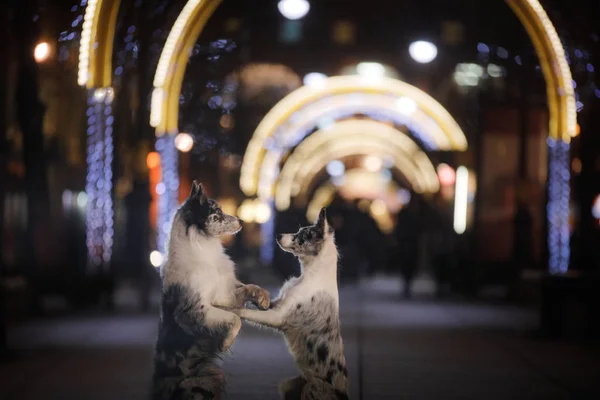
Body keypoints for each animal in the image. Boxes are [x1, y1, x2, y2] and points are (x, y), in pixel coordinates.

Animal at [151, 182, 270, 400]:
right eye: (217, 213)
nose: (242, 221)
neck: (203, 250)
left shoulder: (225, 294)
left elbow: (250, 287)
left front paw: (262, 298)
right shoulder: (196, 310)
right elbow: (235, 319)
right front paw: (226, 343)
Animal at [223, 209, 350, 400]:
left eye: (303, 235)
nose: (278, 234)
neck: (311, 276)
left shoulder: (278, 316)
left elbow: (245, 312)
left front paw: (227, 308)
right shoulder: (275, 305)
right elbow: (254, 300)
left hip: (311, 389)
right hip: (288, 385)